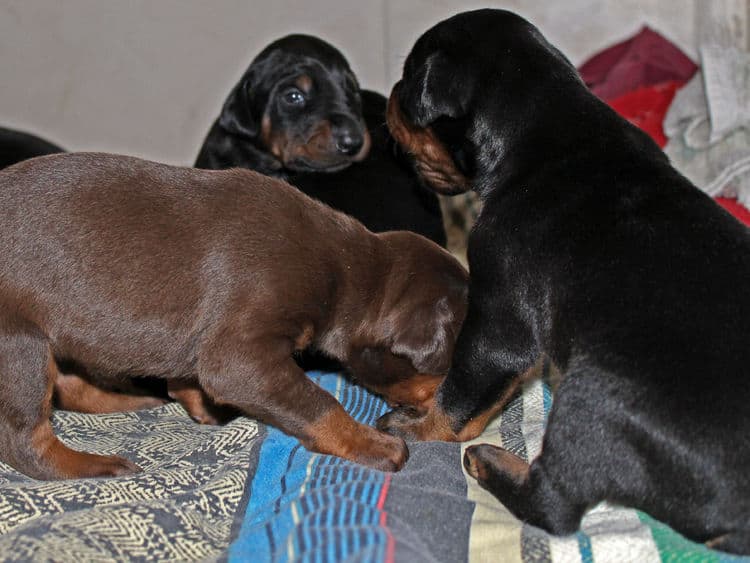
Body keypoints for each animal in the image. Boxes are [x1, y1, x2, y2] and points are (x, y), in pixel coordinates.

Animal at [1, 153, 470, 480]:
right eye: (452, 365)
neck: (351, 268)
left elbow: (187, 377)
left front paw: (198, 405)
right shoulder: (239, 357)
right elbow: (319, 401)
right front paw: (374, 443)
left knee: (70, 387)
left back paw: (133, 399)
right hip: (20, 342)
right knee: (26, 440)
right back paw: (96, 465)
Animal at [382, 7, 750, 556]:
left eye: (408, 83)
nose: (387, 96)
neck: (550, 130)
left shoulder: (498, 324)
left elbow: (460, 395)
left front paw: (416, 425)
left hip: (592, 396)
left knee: (554, 504)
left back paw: (490, 463)